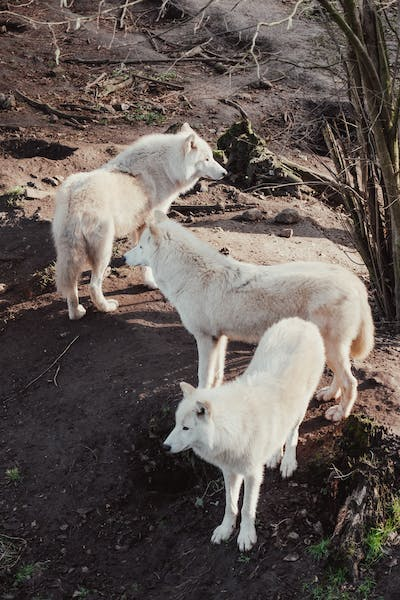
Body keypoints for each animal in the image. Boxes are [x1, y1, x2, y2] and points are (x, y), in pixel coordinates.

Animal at [52, 121, 227, 318]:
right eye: (207, 159)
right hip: (103, 251)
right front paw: (151, 283)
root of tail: (74, 197)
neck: (167, 167)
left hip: (70, 253)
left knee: (71, 285)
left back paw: (76, 313)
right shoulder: (148, 223)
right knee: (93, 285)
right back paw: (107, 307)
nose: (225, 173)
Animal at [125, 212, 376, 422]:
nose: (125, 257)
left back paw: (339, 413)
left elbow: (203, 376)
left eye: (140, 246)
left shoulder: (205, 338)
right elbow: (216, 375)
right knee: (341, 377)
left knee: (351, 382)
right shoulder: (219, 338)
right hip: (330, 348)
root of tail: (355, 282)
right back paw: (329, 395)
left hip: (331, 347)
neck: (190, 276)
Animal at [164, 316, 326, 552]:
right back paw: (274, 456)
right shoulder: (229, 471)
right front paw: (225, 530)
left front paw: (246, 536)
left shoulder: (252, 474)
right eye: (176, 424)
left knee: (292, 433)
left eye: (186, 428)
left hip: (300, 407)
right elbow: (230, 506)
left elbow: (247, 508)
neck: (231, 430)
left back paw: (287, 462)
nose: (165, 446)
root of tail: (301, 322)